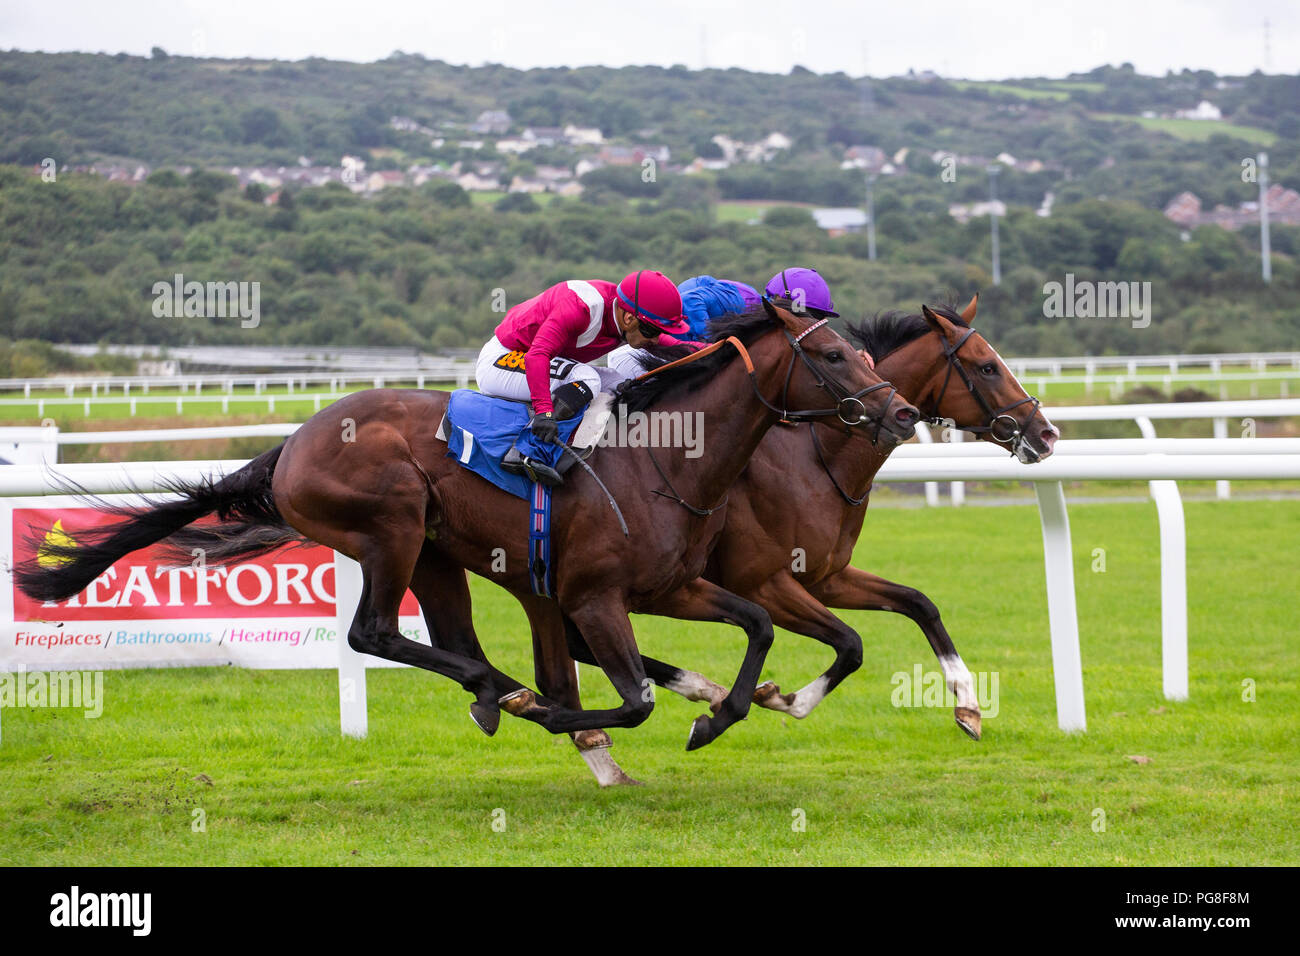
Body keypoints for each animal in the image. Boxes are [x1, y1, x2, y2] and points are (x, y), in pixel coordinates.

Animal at [15, 299, 920, 754]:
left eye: (862, 352)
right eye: (831, 356)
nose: (901, 412)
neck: (668, 458)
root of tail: (294, 441)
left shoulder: (678, 586)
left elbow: (758, 626)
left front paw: (716, 713)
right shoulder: (596, 596)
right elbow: (630, 701)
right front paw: (571, 715)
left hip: (438, 553)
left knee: (448, 637)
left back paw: (500, 690)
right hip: (391, 525)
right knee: (375, 632)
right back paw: (504, 693)